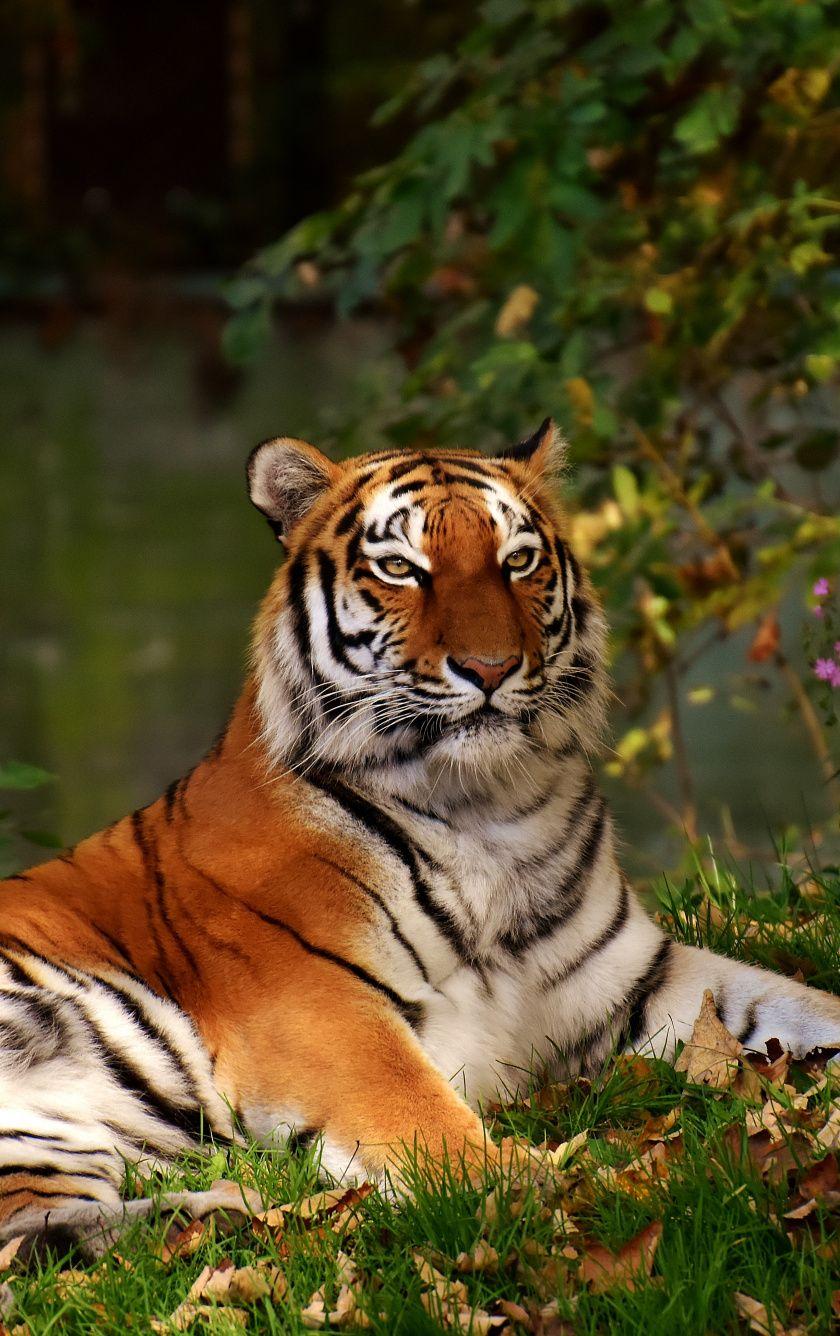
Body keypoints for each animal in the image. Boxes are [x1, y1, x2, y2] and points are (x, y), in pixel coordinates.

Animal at [1, 418, 839, 1251]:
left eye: (518, 560)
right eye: (402, 569)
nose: (490, 667)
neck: (490, 812)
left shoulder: (637, 975)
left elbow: (802, 1004)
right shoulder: (318, 1009)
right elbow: (426, 1120)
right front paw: (541, 1189)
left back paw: (225, 1213)